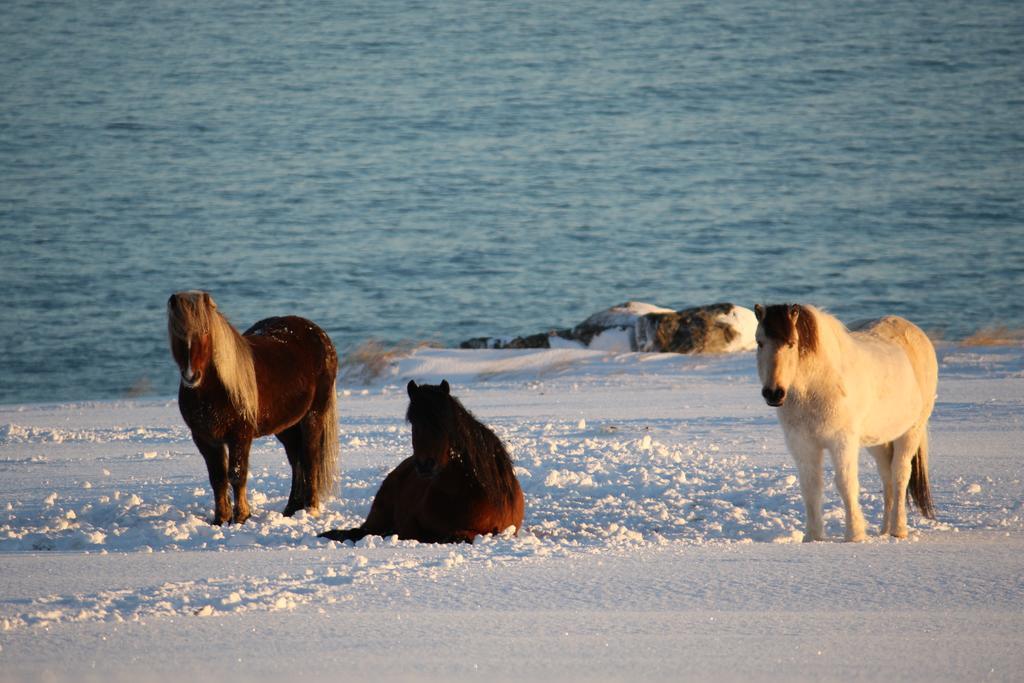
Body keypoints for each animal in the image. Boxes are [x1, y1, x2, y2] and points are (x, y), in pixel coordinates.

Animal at [167, 290, 339, 528]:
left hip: (312, 416)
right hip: (286, 427)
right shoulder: (204, 438)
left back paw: (310, 509)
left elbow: (237, 474)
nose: (191, 376)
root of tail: (319, 334)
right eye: (177, 334)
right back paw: (291, 509)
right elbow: (217, 478)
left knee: (310, 458)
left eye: (205, 331)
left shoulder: (240, 435)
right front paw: (220, 519)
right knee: (296, 460)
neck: (217, 388)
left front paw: (241, 517)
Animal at [753, 301, 937, 540]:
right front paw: (813, 537)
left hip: (911, 431)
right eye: (759, 342)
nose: (773, 393)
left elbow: (846, 483)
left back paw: (898, 530)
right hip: (878, 440)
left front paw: (854, 534)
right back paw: (884, 530)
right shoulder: (802, 445)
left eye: (791, 344)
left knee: (900, 475)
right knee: (887, 477)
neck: (816, 387)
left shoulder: (842, 441)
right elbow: (811, 487)